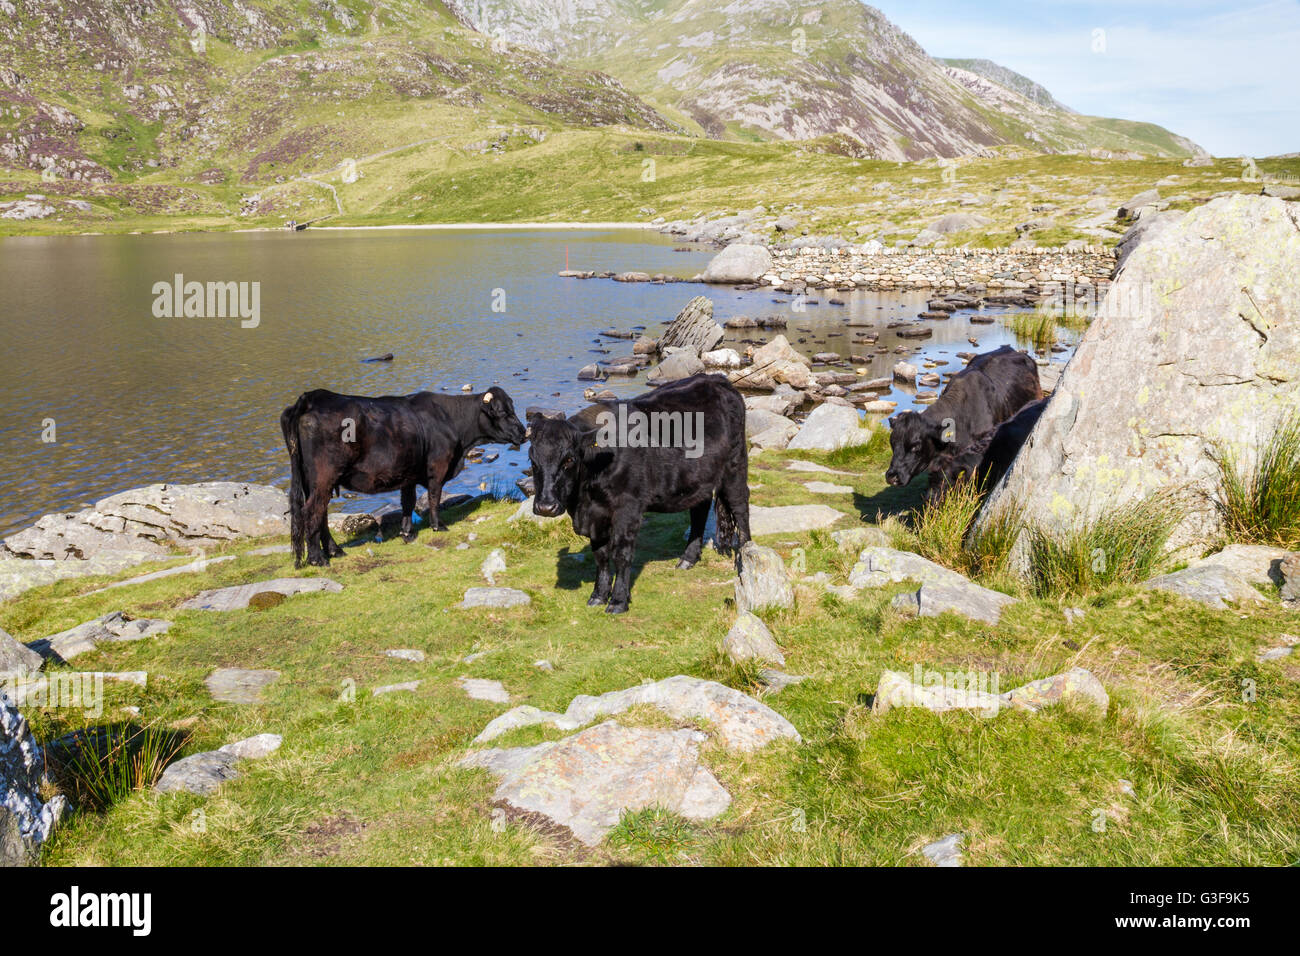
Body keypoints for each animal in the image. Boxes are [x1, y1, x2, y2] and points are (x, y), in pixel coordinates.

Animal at [282, 387, 525, 567]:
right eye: (502, 412)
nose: (524, 432)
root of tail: (313, 397)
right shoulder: (437, 467)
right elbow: (434, 497)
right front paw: (438, 525)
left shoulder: (408, 474)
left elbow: (408, 502)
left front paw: (407, 532)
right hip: (324, 477)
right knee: (312, 512)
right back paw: (318, 559)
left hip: (313, 481)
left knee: (320, 514)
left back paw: (335, 551)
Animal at [527, 374, 754, 613]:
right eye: (533, 460)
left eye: (569, 460)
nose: (545, 506)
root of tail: (715, 379)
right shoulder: (596, 517)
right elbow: (600, 555)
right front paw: (598, 596)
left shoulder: (628, 508)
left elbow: (621, 554)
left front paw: (618, 601)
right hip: (697, 477)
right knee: (699, 511)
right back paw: (688, 559)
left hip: (735, 465)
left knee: (740, 506)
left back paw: (745, 557)